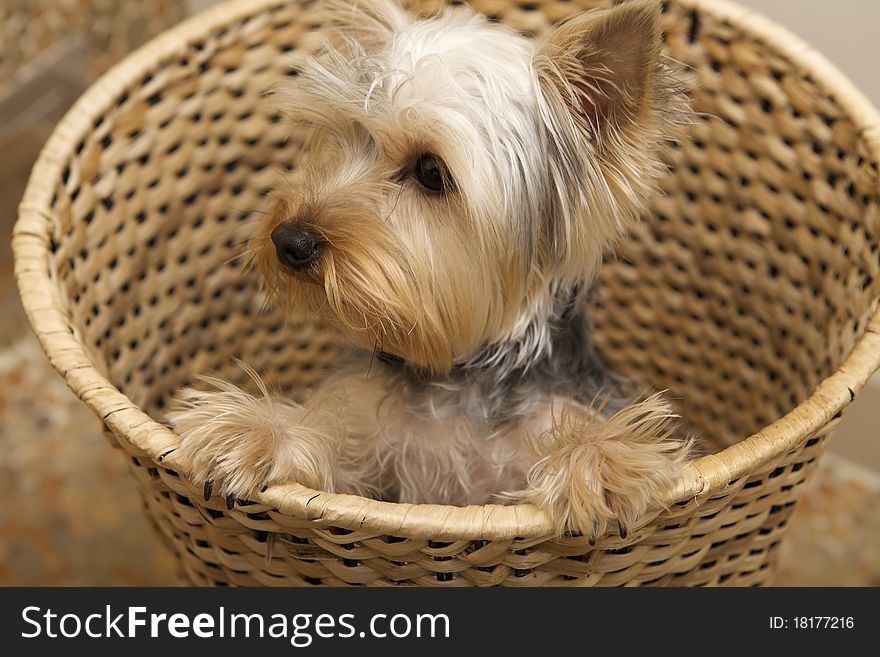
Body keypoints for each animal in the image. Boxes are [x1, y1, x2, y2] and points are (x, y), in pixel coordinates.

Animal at [168, 0, 696, 540]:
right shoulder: (365, 445)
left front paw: (598, 462)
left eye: (430, 171)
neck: (458, 373)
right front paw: (252, 432)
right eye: (348, 137)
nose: (288, 239)